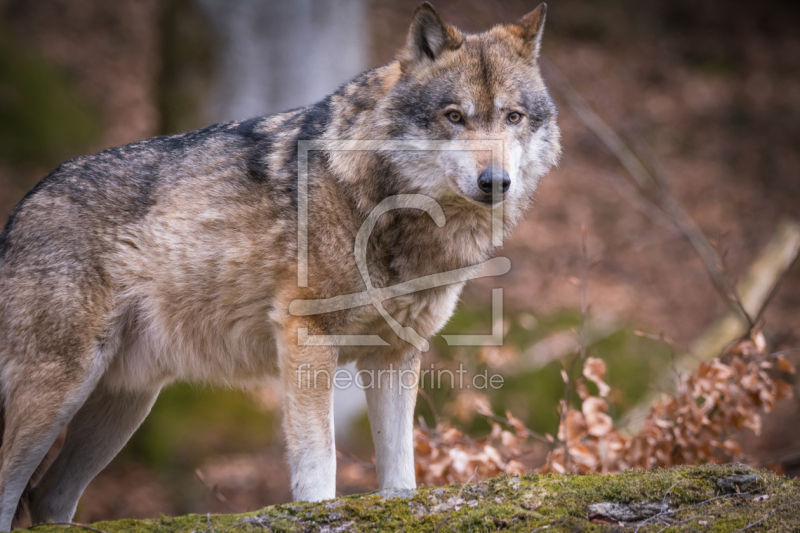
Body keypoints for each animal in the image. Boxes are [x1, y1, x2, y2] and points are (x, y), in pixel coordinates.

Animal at [0, 3, 560, 528]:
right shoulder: (307, 338)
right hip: (61, 392)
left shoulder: (395, 355)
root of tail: (21, 207)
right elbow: (319, 465)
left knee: (48, 498)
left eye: (513, 117)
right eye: (454, 116)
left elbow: (401, 473)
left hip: (125, 406)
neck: (378, 203)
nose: (495, 182)